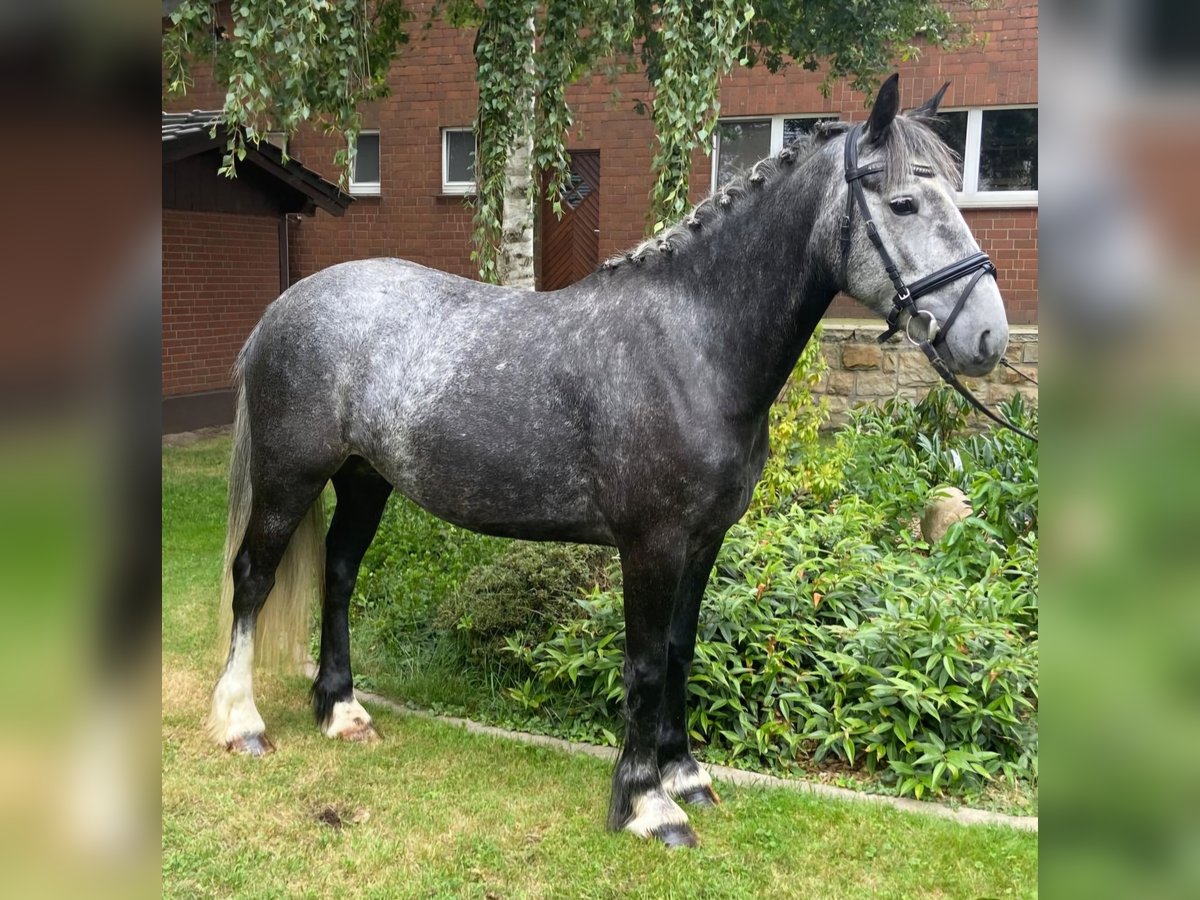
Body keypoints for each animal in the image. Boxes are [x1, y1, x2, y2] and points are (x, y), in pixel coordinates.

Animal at [208, 75, 1012, 844]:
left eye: (954, 188)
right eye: (904, 201)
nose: (987, 338)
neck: (692, 345)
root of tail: (285, 307)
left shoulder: (704, 540)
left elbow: (682, 649)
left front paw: (686, 774)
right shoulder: (650, 544)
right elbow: (646, 662)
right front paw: (648, 805)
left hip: (364, 479)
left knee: (339, 575)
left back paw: (341, 709)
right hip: (289, 476)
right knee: (252, 578)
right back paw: (241, 722)